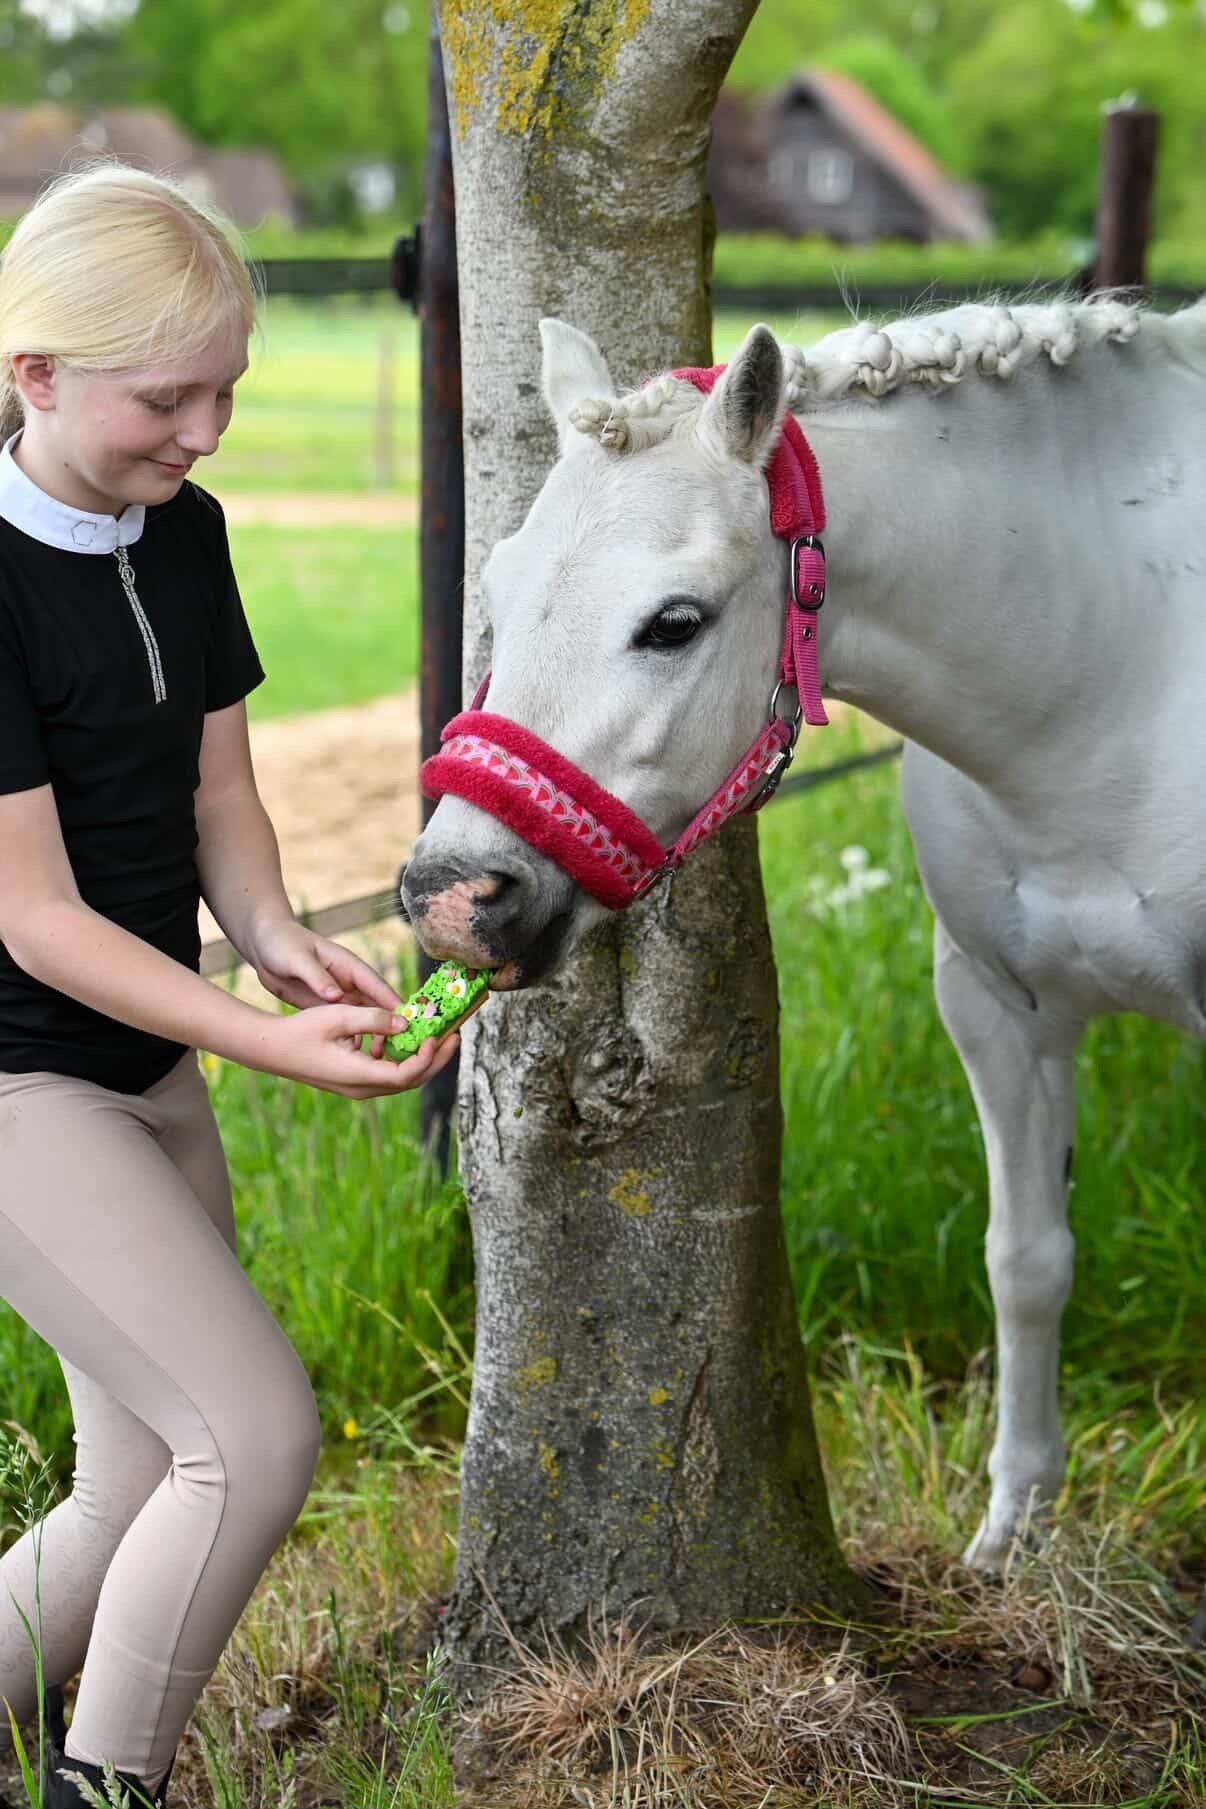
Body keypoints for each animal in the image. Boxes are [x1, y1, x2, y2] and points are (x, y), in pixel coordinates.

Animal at [402, 294, 1206, 1570]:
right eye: (501, 585)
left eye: (674, 623)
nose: (451, 894)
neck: (1117, 665)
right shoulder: (997, 1006)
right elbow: (1026, 1260)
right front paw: (1012, 1535)